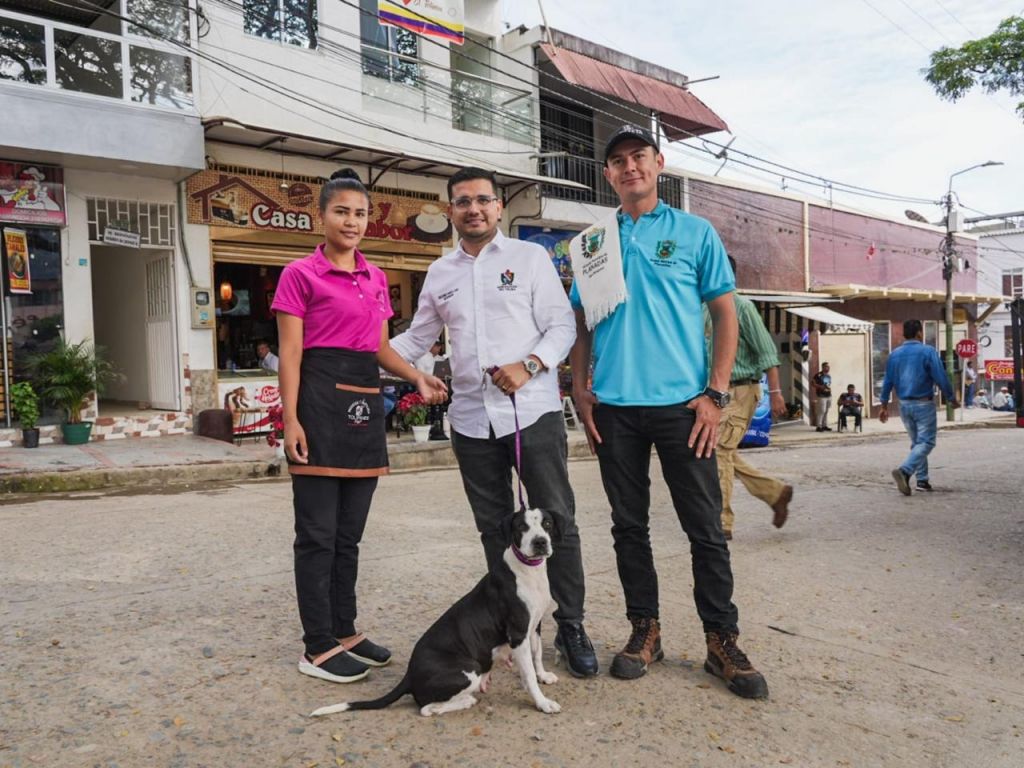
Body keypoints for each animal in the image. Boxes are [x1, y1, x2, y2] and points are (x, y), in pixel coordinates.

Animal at [313, 507, 561, 720]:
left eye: (547, 524)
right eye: (521, 527)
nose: (540, 542)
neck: (528, 571)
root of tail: (409, 675)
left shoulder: (534, 626)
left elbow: (537, 655)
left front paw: (543, 675)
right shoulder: (518, 633)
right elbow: (528, 674)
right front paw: (542, 702)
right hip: (469, 669)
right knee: (426, 708)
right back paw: (466, 700)